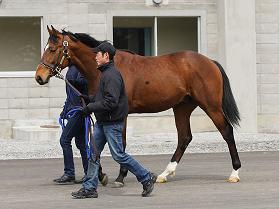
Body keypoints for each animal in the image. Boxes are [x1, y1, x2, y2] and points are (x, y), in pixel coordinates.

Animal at [35, 25, 242, 185]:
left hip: (211, 106)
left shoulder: (120, 114)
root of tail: (210, 62)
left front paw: (120, 177)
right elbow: (96, 144)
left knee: (226, 131)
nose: (39, 76)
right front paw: (101, 174)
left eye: (52, 49)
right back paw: (164, 174)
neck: (105, 68)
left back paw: (234, 173)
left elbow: (120, 144)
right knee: (184, 137)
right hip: (182, 107)